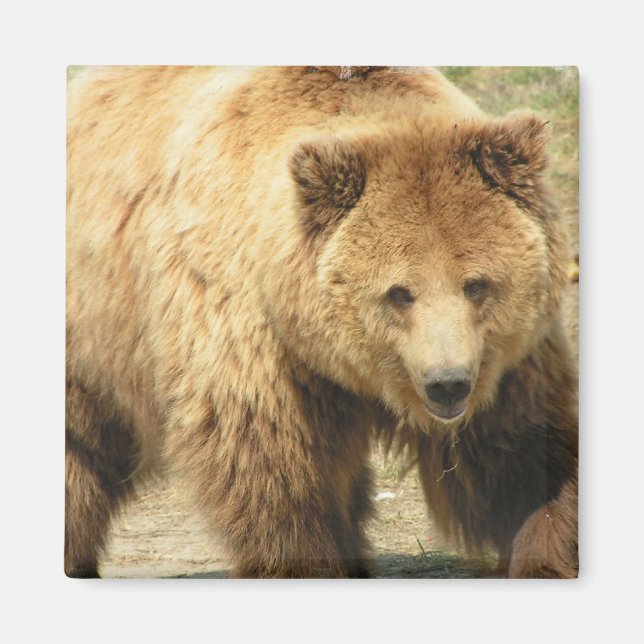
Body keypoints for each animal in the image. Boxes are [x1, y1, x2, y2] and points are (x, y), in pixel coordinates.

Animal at [66, 66, 578, 578]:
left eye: (476, 284)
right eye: (399, 293)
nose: (447, 384)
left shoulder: (506, 361)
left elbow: (518, 453)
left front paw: (543, 555)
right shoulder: (254, 341)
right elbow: (275, 474)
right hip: (99, 326)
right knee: (83, 446)